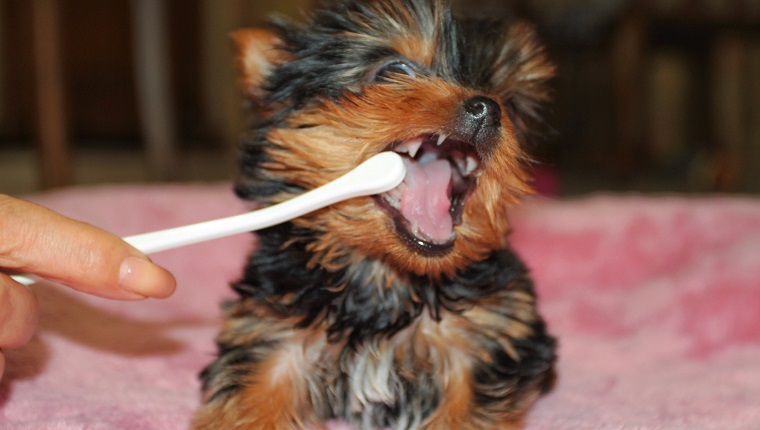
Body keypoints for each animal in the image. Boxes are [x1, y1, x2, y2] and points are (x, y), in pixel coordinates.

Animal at [193, 0, 556, 430]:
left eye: (510, 102)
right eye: (394, 71)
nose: (487, 108)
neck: (386, 275)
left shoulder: (491, 329)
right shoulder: (271, 329)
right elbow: (252, 395)